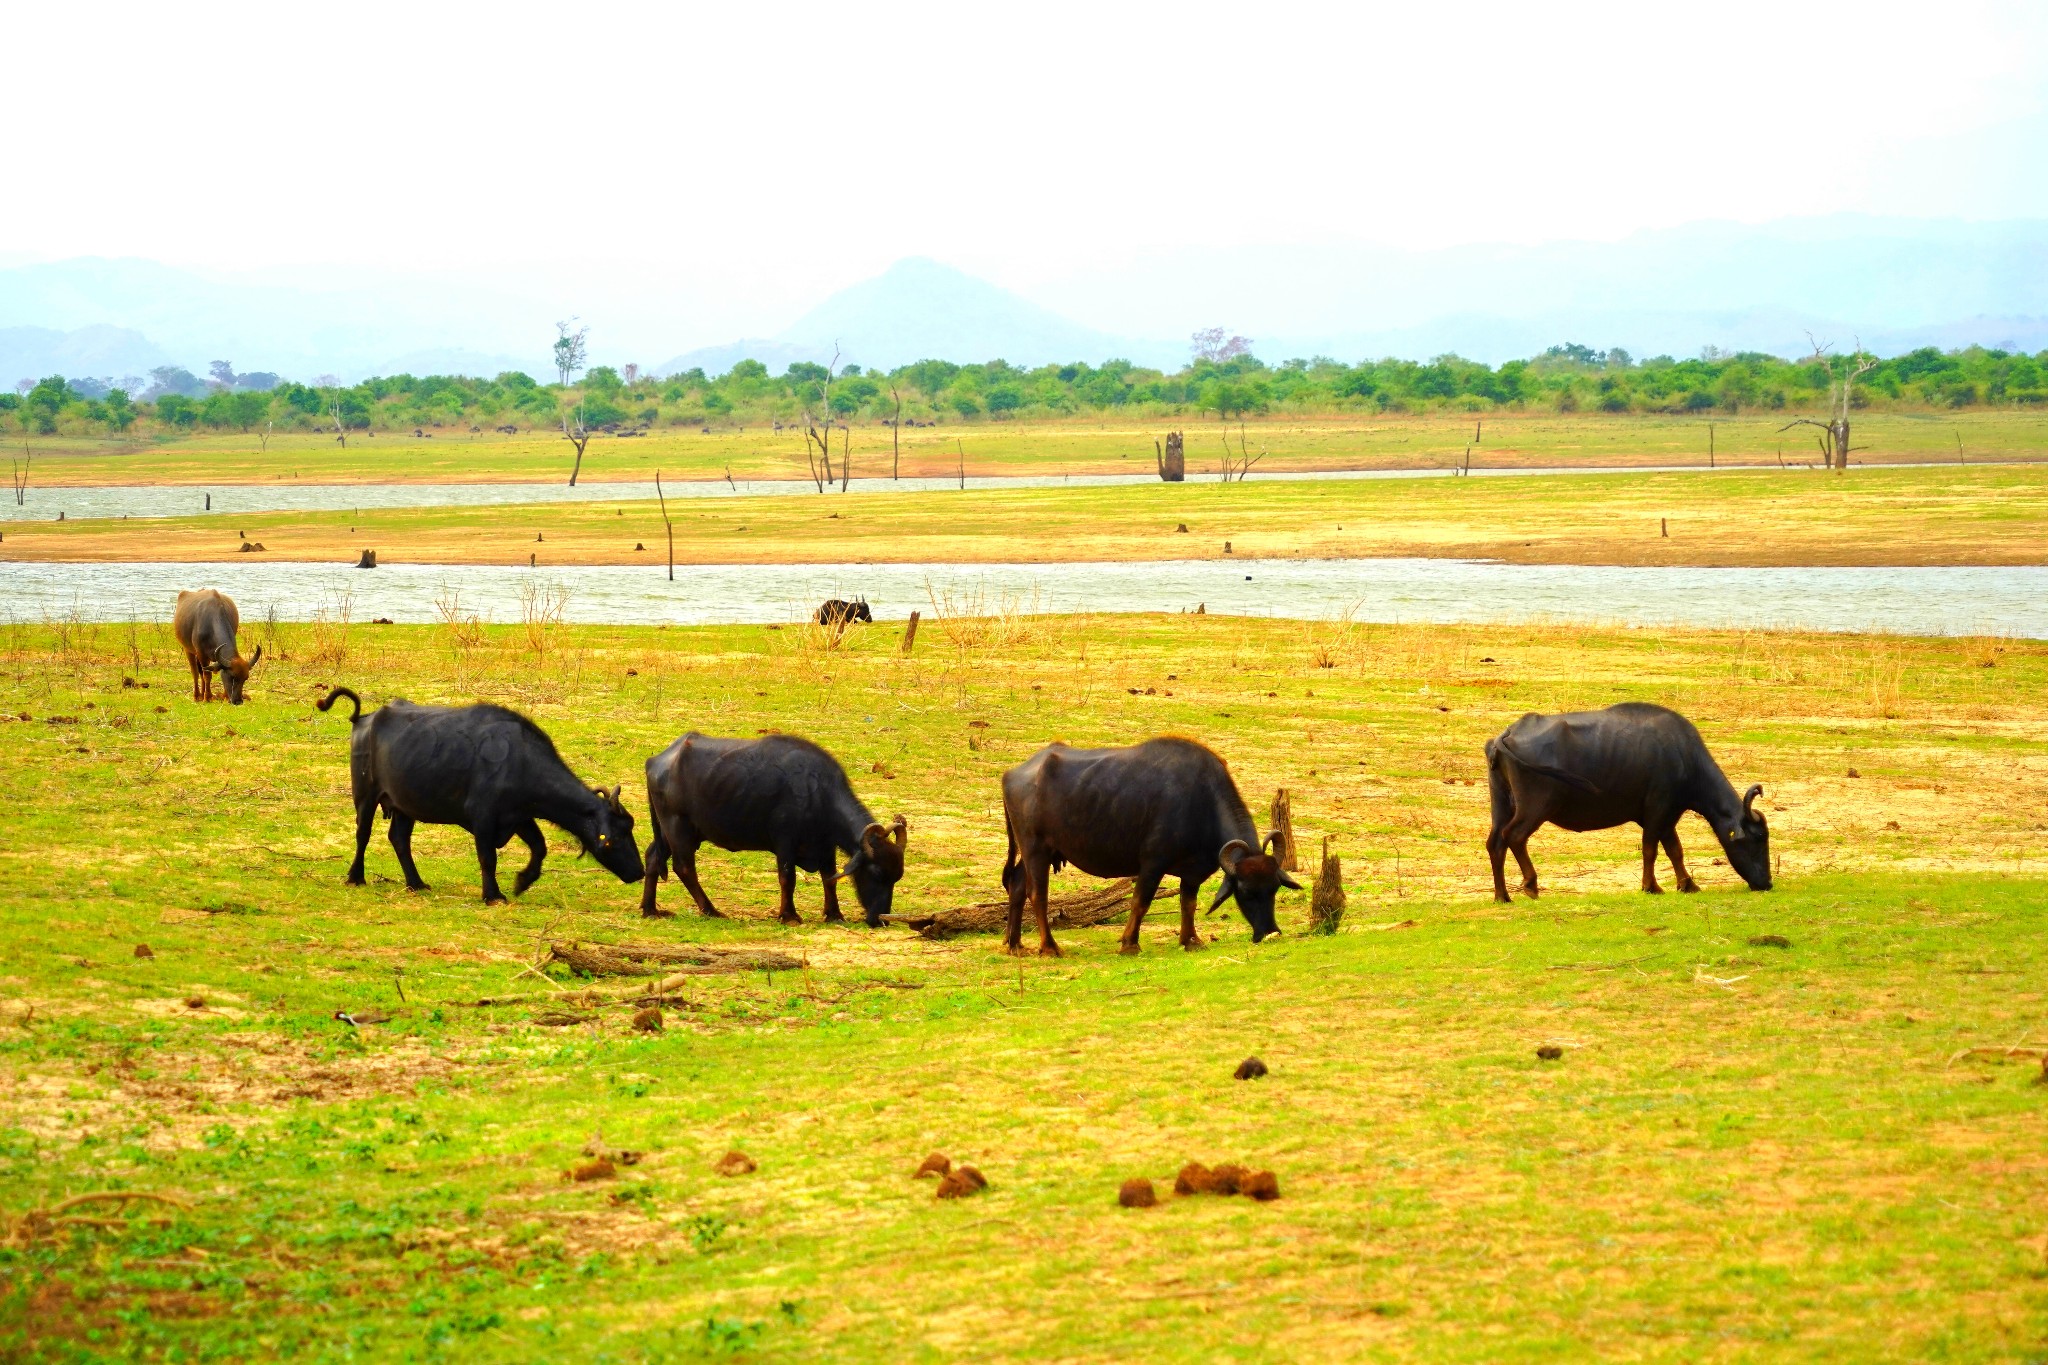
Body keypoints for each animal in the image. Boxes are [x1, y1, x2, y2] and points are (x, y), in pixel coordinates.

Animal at [319, 683, 643, 908]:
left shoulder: (519, 816)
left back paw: (416, 883)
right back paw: (355, 877)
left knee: (399, 838)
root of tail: (365, 718)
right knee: (362, 834)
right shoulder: (484, 818)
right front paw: (493, 895)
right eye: (616, 836)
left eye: (630, 829)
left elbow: (539, 847)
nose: (639, 872)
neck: (519, 761)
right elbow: (488, 857)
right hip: (365, 795)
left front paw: (522, 882)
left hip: (403, 805)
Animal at [634, 736, 901, 929]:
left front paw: (834, 913)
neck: (816, 792)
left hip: (669, 832)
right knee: (684, 868)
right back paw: (711, 910)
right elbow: (787, 878)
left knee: (653, 856)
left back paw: (650, 909)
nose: (881, 919)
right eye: (876, 873)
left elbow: (829, 879)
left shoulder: (826, 847)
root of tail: (656, 761)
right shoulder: (785, 843)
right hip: (677, 827)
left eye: (896, 877)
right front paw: (789, 915)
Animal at [991, 736, 1294, 961]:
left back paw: (1015, 944)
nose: (1270, 933)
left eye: (1274, 888)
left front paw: (1191, 940)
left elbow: (1188, 904)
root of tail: (1012, 774)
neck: (1199, 801)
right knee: (1037, 894)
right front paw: (1129, 943)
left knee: (1017, 886)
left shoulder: (1192, 873)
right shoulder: (1152, 864)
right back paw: (1050, 947)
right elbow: (1140, 902)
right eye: (1246, 892)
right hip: (1035, 849)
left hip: (1036, 852)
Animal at [1482, 703, 1769, 908]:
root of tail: (1505, 735)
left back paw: (1502, 896)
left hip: (1502, 803)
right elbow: (1651, 850)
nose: (1766, 883)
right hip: (1535, 806)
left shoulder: (1667, 817)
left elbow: (1675, 850)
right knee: (1514, 836)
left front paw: (1687, 884)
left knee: (1495, 842)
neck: (1683, 757)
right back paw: (1530, 885)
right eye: (1757, 839)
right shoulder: (1658, 811)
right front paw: (1652, 886)